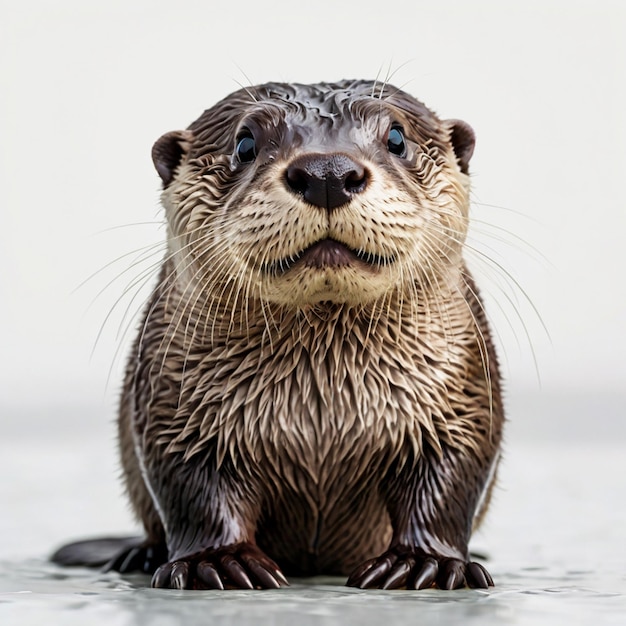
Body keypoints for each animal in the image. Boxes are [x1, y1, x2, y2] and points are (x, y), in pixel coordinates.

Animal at [52, 80, 502, 588]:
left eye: (397, 137)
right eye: (245, 144)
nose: (327, 172)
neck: (322, 412)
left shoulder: (461, 398)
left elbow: (449, 482)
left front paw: (425, 562)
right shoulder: (177, 405)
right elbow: (192, 487)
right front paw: (217, 561)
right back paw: (139, 554)